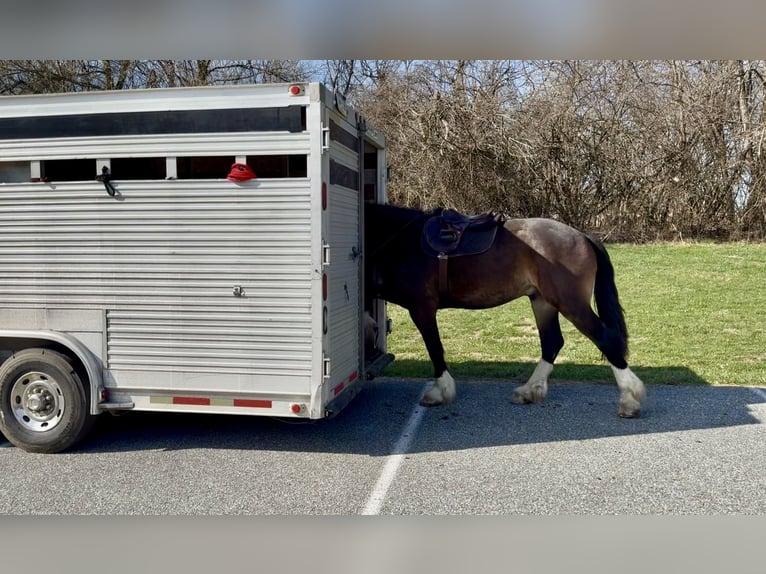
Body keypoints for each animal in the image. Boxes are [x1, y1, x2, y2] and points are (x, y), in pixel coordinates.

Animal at [364, 202, 646, 418]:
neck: (401, 241)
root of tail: (582, 236)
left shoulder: (422, 308)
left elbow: (435, 349)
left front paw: (441, 391)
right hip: (542, 302)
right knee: (552, 342)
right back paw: (530, 390)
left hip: (570, 303)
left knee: (605, 339)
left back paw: (629, 398)